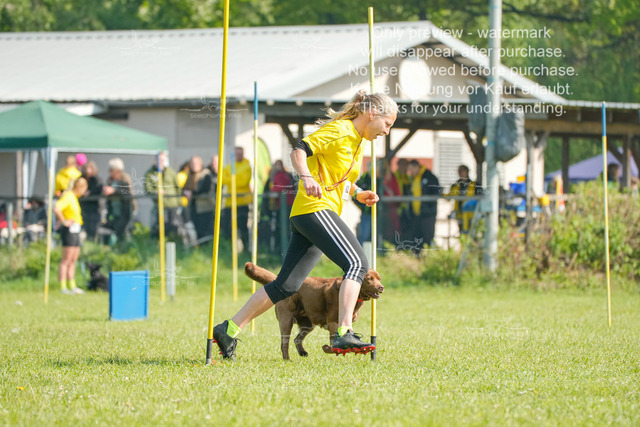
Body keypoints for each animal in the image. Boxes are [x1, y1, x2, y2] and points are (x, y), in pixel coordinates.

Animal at [244, 262, 384, 360]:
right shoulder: (333, 322)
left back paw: (302, 353)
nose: (381, 287)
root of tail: (280, 283)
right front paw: (328, 348)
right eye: (369, 279)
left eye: (379, 278)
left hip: (308, 324)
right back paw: (287, 359)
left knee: (297, 339)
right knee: (284, 342)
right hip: (286, 321)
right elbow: (333, 344)